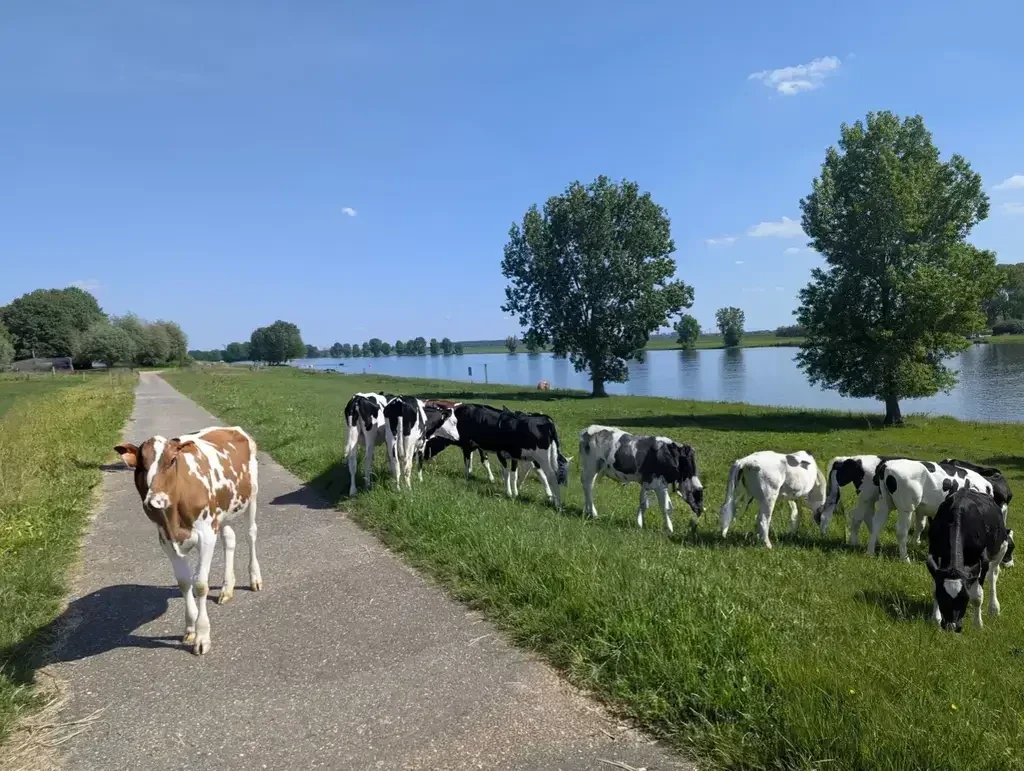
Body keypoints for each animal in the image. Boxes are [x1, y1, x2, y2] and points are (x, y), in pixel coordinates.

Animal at [115, 426, 261, 655]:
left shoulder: (206, 535)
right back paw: (227, 589)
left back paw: (255, 578)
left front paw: (202, 636)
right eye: (141, 464)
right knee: (230, 538)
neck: (173, 518)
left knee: (250, 534)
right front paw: (190, 628)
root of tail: (233, 428)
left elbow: (200, 584)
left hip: (251, 495)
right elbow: (184, 582)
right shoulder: (166, 540)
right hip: (222, 512)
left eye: (172, 460)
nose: (155, 500)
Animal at [441, 403, 569, 508]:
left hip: (542, 457)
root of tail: (546, 419)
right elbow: (513, 474)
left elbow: (505, 473)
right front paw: (515, 493)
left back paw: (557, 504)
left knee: (551, 476)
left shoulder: (496, 452)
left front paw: (508, 492)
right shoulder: (512, 456)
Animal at [926, 488, 1013, 632]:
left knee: (993, 575)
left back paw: (994, 608)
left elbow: (977, 596)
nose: (951, 626)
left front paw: (978, 625)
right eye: (942, 596)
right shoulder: (934, 554)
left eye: (965, 599)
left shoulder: (983, 561)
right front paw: (935, 618)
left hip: (1000, 548)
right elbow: (934, 588)